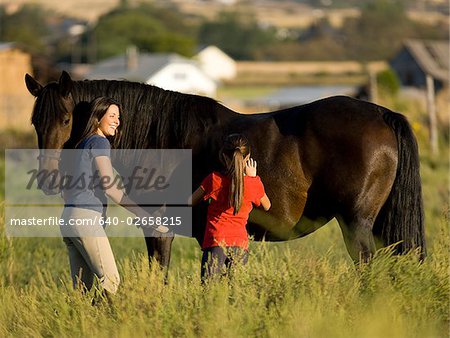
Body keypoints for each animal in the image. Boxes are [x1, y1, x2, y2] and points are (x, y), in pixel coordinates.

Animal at [24, 70, 426, 266]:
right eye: (34, 121)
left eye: (65, 118)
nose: (48, 178)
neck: (159, 135)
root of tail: (382, 114)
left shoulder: (159, 230)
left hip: (356, 224)